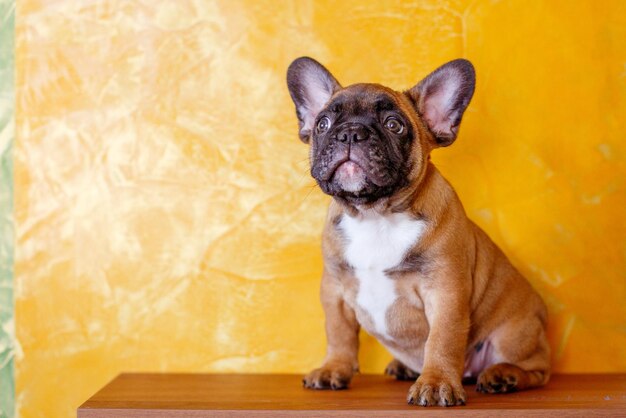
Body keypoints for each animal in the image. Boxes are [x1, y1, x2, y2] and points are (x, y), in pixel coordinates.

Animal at [286, 57, 548, 406]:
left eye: (394, 125)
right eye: (323, 124)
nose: (351, 133)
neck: (375, 215)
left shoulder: (445, 291)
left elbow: (442, 340)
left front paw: (436, 384)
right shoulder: (334, 291)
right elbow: (339, 334)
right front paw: (333, 369)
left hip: (514, 334)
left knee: (538, 369)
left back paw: (503, 376)